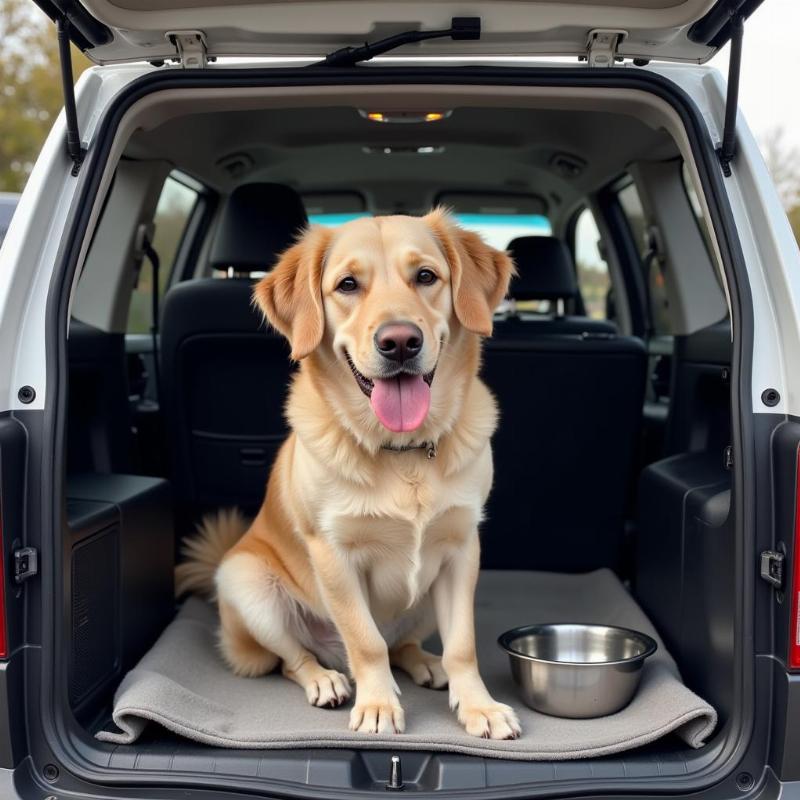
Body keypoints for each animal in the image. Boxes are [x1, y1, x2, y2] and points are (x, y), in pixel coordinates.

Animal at [177, 208, 520, 736]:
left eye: (426, 276)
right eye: (347, 285)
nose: (400, 342)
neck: (401, 449)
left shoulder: (462, 549)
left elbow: (461, 645)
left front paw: (478, 706)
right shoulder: (333, 554)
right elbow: (365, 641)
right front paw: (378, 705)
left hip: (423, 600)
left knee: (402, 644)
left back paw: (426, 664)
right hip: (248, 584)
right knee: (295, 659)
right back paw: (326, 680)